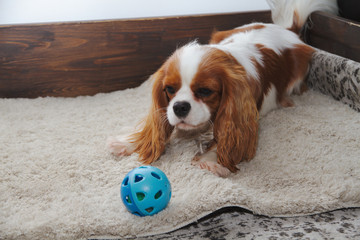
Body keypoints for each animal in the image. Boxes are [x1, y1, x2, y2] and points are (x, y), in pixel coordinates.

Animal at [108, 0, 338, 176]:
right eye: (170, 89)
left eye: (205, 91)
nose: (179, 107)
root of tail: (287, 29)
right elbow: (157, 128)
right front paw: (129, 142)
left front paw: (212, 159)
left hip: (298, 73)